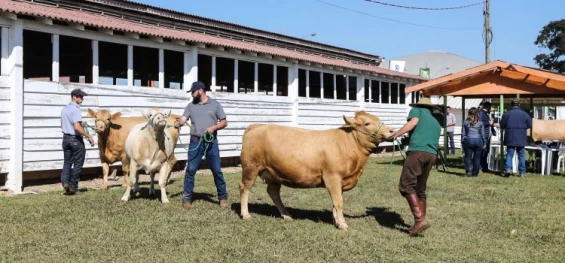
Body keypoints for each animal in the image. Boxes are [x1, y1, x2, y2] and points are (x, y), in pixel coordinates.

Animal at [240, 111, 394, 231]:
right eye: (367, 123)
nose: (392, 131)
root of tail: (257, 125)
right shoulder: (332, 177)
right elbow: (339, 201)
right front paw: (342, 224)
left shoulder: (341, 181)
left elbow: (336, 202)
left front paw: (336, 220)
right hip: (251, 167)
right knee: (244, 188)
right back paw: (246, 214)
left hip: (274, 173)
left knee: (273, 192)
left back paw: (286, 215)